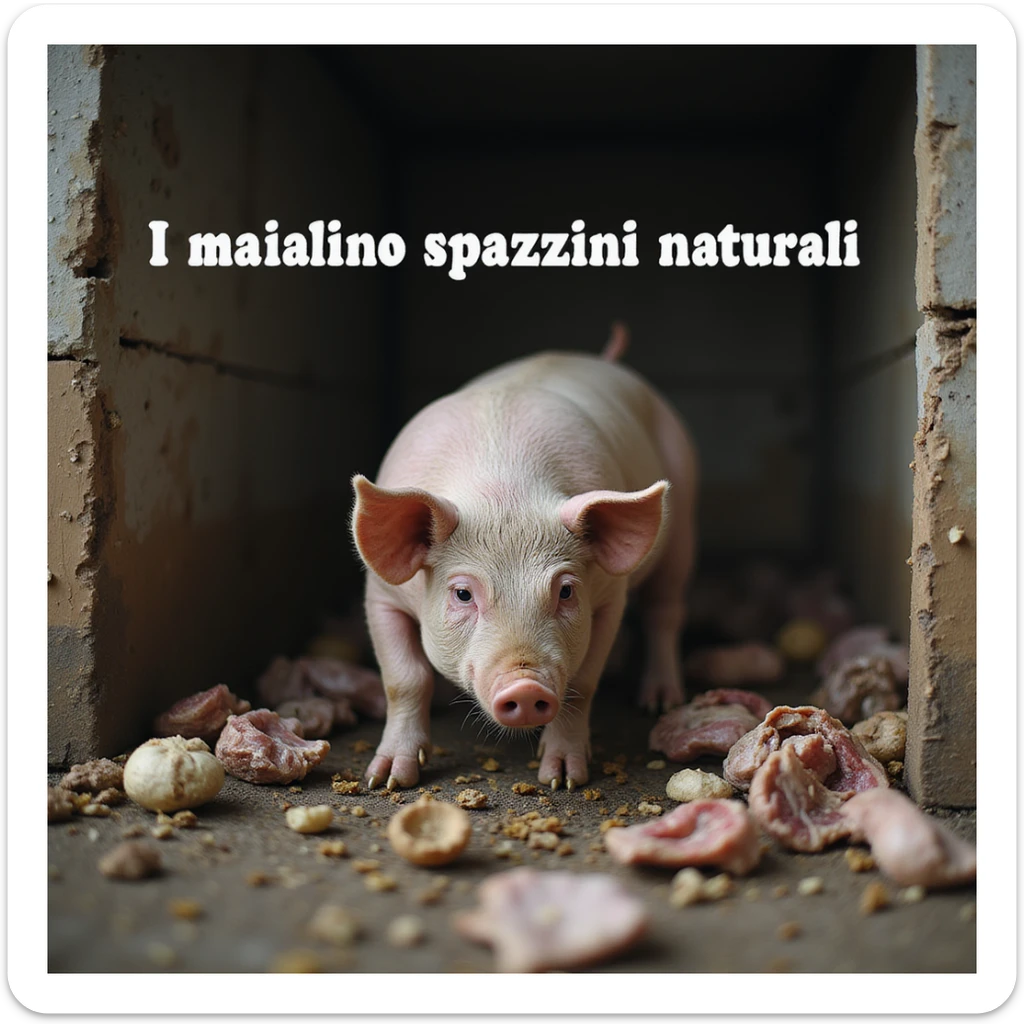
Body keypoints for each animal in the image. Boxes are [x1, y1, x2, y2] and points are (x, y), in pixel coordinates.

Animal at [350, 327, 698, 791]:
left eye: (566, 591)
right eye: (462, 594)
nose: (526, 686)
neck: (504, 491)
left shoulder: (610, 595)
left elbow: (583, 683)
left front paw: (563, 780)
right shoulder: (381, 595)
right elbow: (404, 680)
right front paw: (385, 780)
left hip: (683, 523)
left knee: (666, 612)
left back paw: (659, 703)